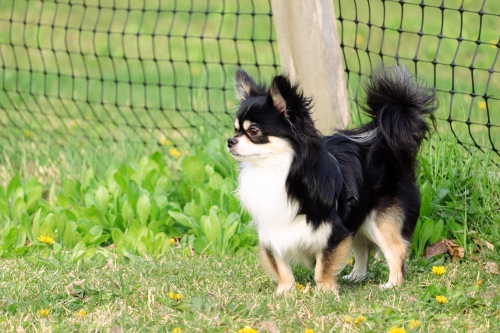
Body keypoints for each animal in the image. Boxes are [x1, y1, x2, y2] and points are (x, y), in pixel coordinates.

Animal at [229, 65, 436, 294]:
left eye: (253, 131)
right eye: (235, 129)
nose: (230, 141)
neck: (276, 170)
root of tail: (386, 142)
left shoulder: (333, 230)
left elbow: (323, 266)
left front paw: (325, 291)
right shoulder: (273, 230)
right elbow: (281, 266)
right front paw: (285, 291)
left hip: (378, 219)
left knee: (396, 249)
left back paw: (391, 285)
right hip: (357, 215)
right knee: (362, 248)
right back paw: (355, 277)